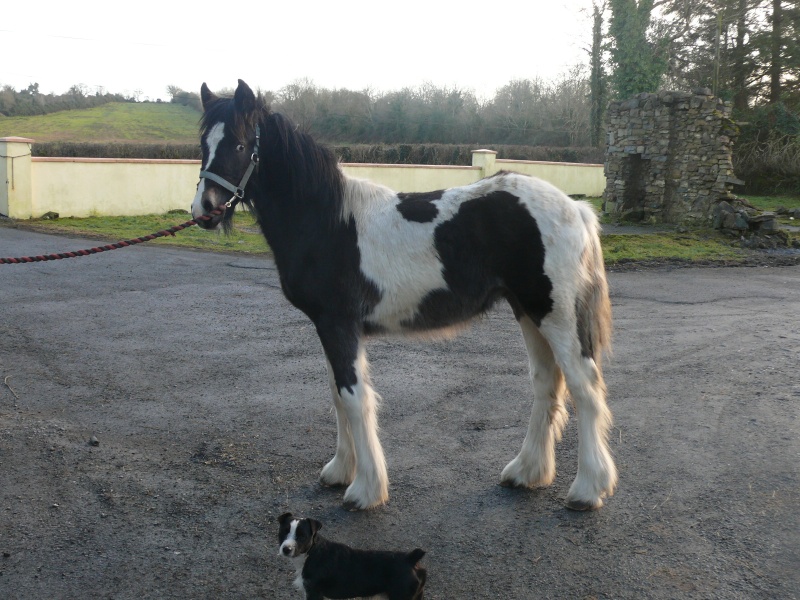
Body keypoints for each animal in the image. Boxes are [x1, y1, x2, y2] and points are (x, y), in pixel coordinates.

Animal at [191, 79, 616, 510]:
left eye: (240, 144)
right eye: (203, 144)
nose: (204, 209)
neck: (327, 221)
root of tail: (577, 209)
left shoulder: (337, 324)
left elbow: (353, 398)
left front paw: (365, 489)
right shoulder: (331, 328)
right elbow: (337, 394)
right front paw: (340, 471)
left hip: (555, 315)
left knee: (584, 388)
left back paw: (587, 489)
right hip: (528, 312)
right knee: (546, 383)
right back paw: (527, 472)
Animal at [276, 510, 424, 600]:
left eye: (302, 536)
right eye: (284, 532)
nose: (286, 549)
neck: (311, 552)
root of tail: (410, 558)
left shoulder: (314, 593)